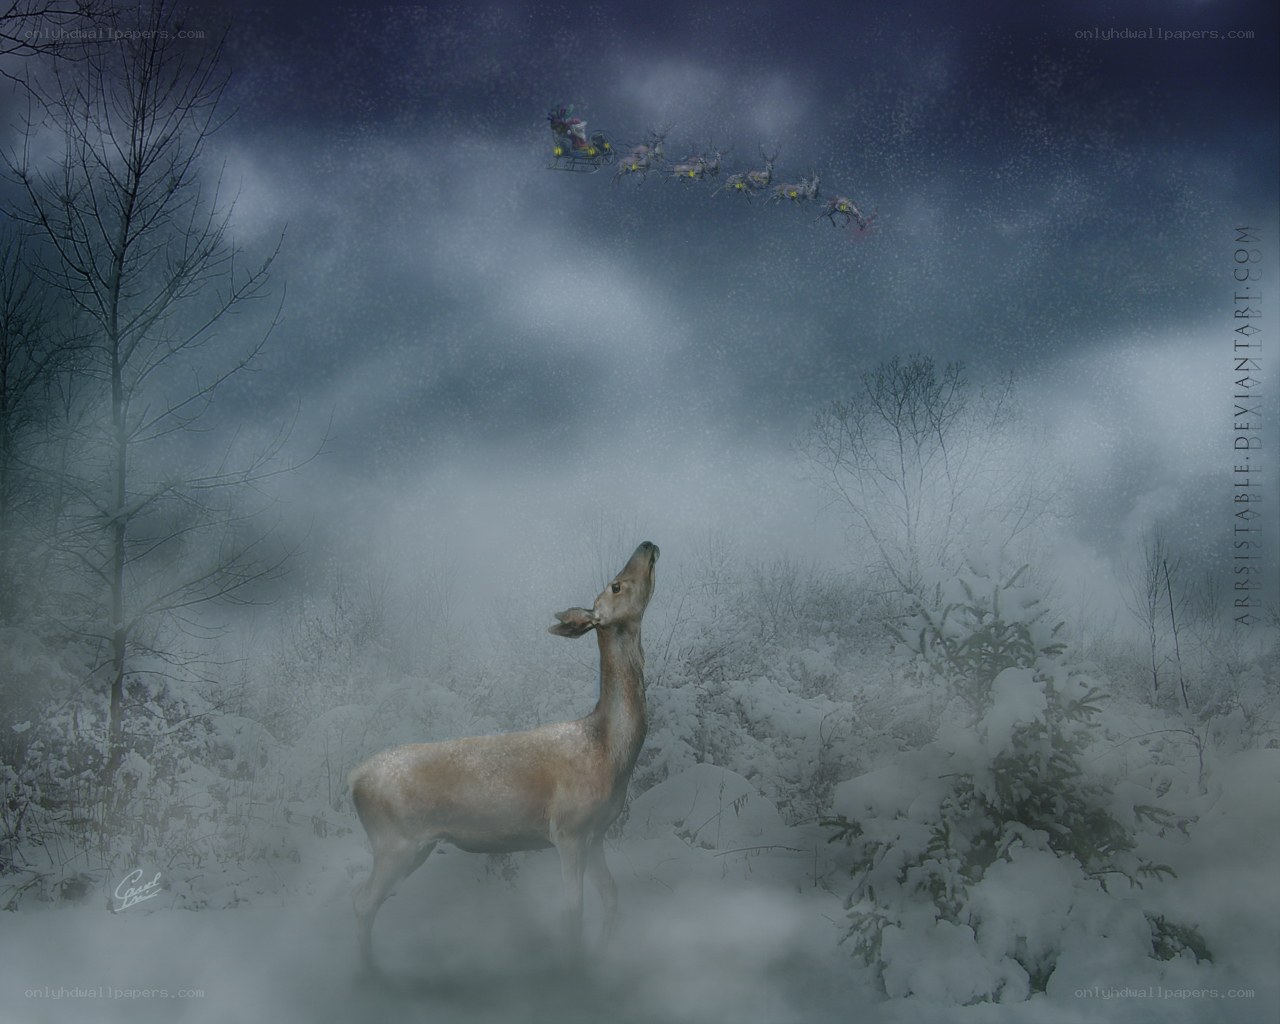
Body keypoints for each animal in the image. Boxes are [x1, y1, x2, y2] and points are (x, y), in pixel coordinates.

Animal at [348, 541, 659, 971]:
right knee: (362, 903)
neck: (608, 750)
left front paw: (599, 956)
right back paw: (370, 972)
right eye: (615, 585)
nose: (647, 545)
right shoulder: (568, 829)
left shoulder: (596, 833)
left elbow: (612, 900)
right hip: (394, 841)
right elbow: (573, 909)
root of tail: (353, 780)